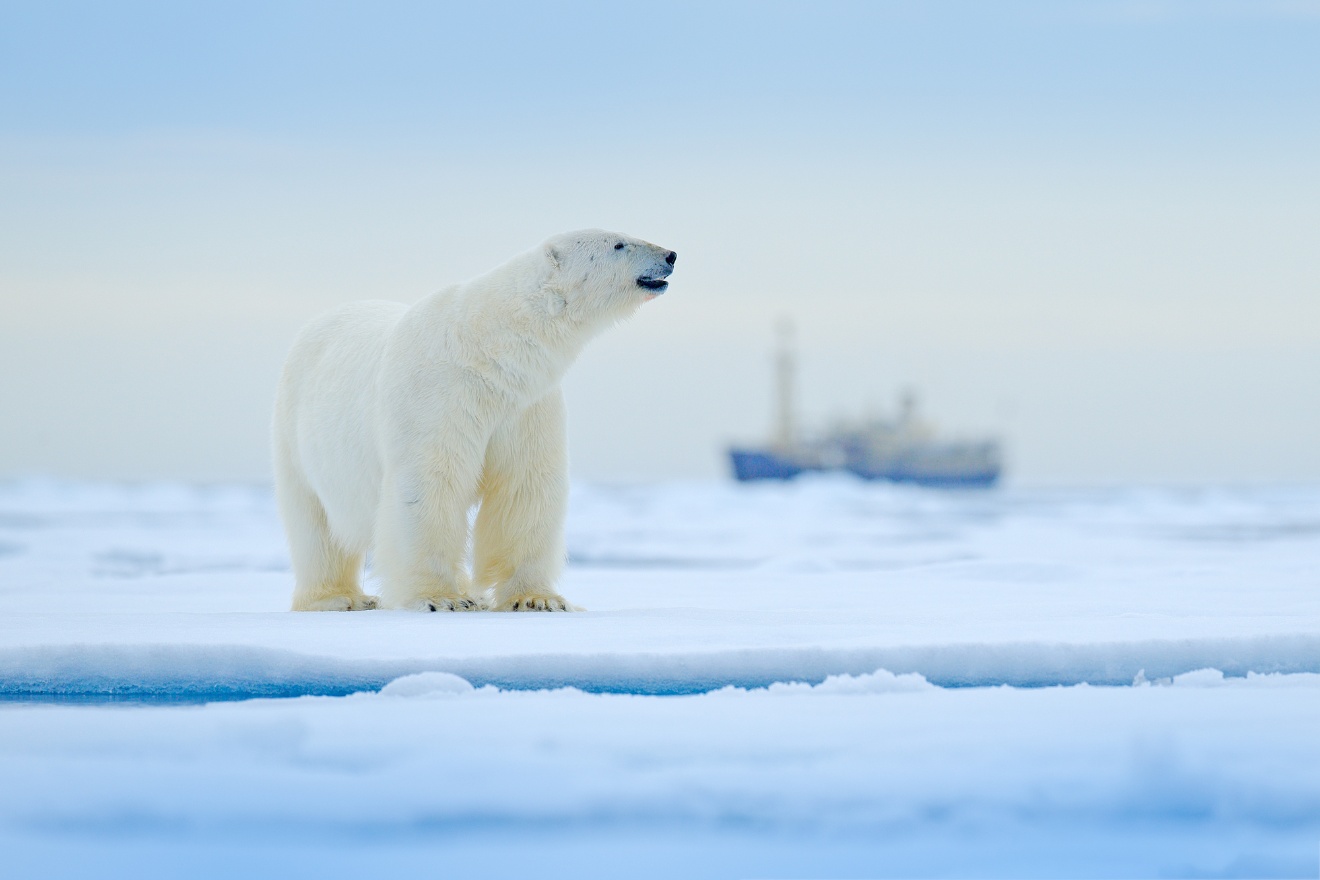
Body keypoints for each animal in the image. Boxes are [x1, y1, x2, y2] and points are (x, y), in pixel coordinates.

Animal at [271, 226, 675, 612]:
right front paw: (440, 597)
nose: (670, 254)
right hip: (297, 433)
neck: (488, 349)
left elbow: (525, 485)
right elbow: (430, 481)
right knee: (315, 525)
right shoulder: (439, 395)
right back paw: (339, 597)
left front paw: (537, 599)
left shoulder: (526, 404)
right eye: (618, 244)